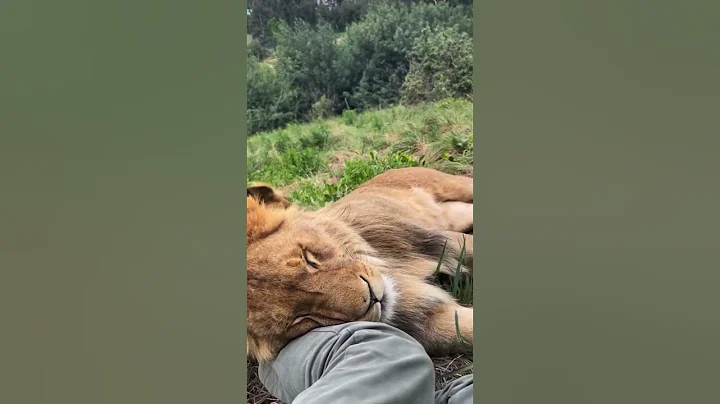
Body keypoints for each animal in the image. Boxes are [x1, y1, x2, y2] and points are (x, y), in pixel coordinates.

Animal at [247, 167, 473, 363]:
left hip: (453, 186)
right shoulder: (428, 320)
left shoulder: (446, 242)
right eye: (301, 318)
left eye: (308, 258)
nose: (372, 297)